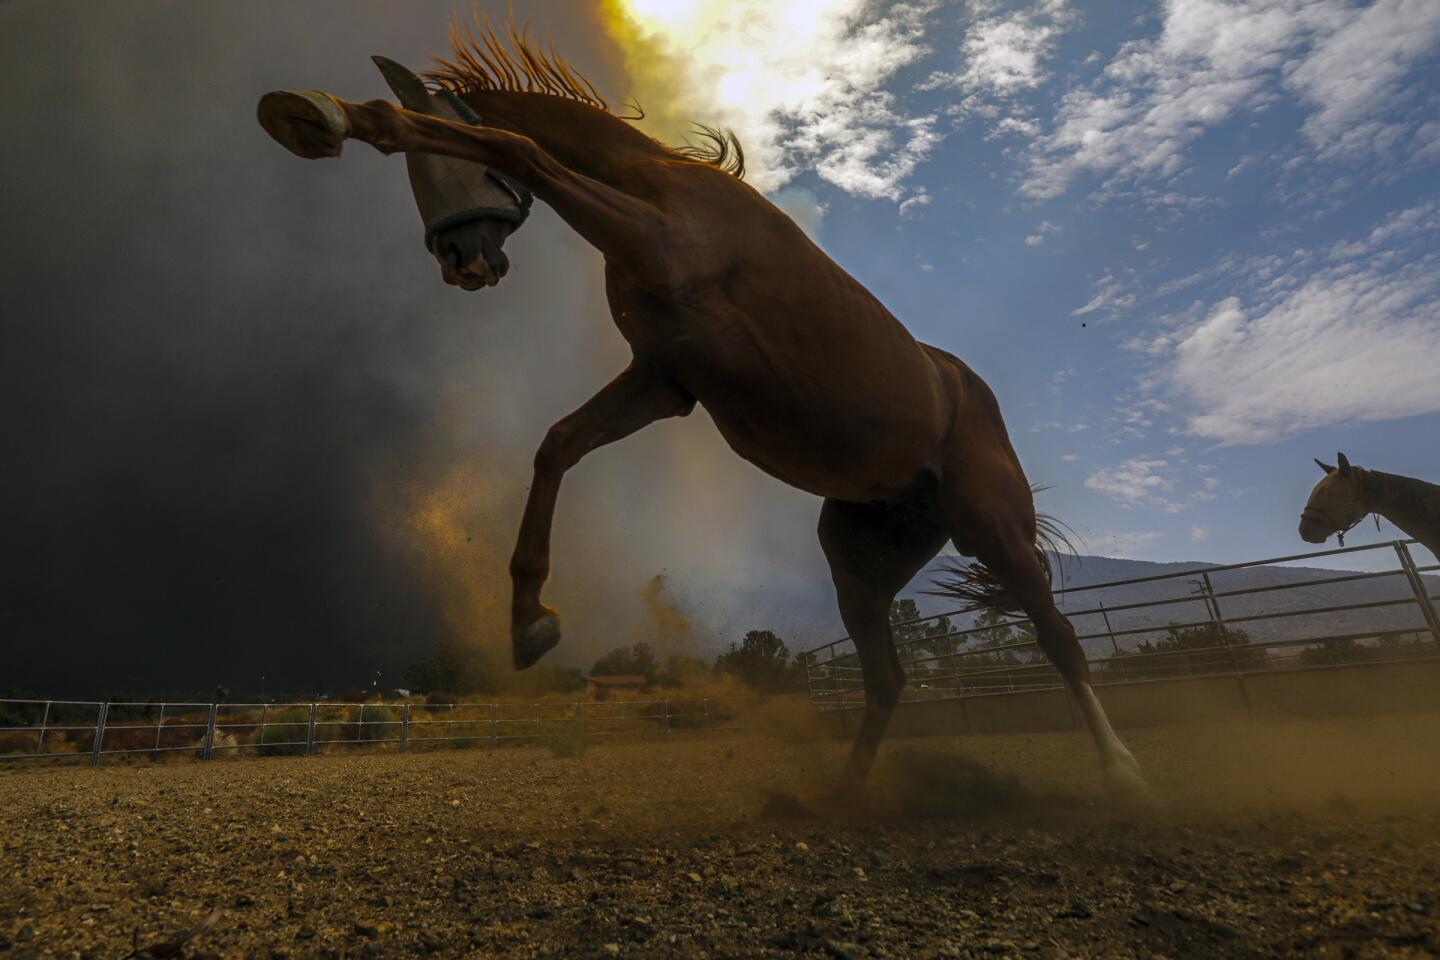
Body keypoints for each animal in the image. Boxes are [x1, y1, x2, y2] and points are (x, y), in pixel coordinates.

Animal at [259, 20, 1152, 805]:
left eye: (437, 154)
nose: (462, 264)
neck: (651, 180)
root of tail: (966, 395)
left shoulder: (654, 270)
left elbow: (520, 150)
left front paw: (325, 114)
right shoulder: (664, 380)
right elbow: (556, 446)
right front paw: (530, 620)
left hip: (992, 524)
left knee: (1057, 637)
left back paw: (1120, 775)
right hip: (859, 558)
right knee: (887, 677)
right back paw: (841, 798)